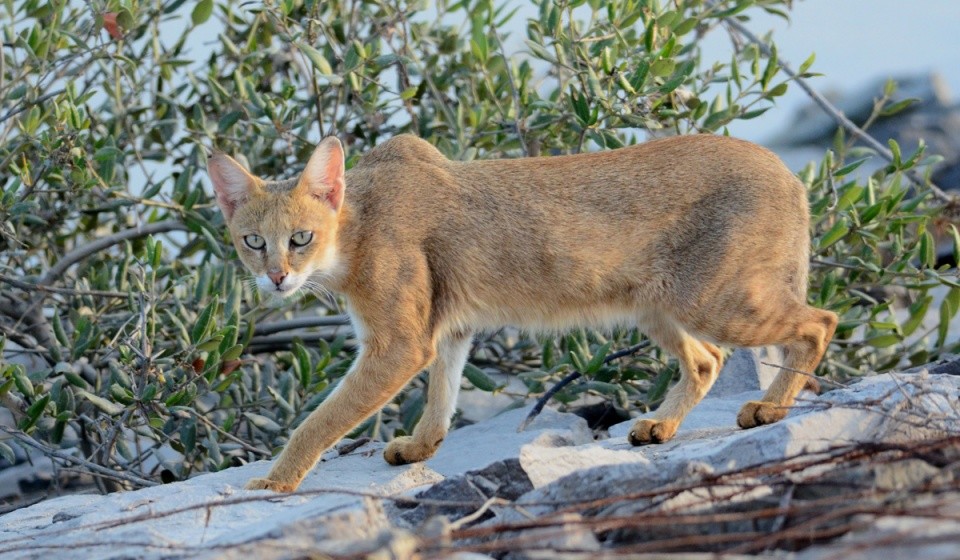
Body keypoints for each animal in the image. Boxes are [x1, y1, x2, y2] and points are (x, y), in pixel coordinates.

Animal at [208, 135, 832, 490]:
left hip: (712, 300)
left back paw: (769, 409)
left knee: (818, 322)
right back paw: (661, 426)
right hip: (658, 305)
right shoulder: (446, 328)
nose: (277, 277)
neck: (355, 231)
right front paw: (420, 448)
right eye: (253, 242)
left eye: (301, 238)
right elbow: (443, 394)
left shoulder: (399, 343)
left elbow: (320, 421)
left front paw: (274, 483)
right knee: (707, 360)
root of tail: (787, 170)